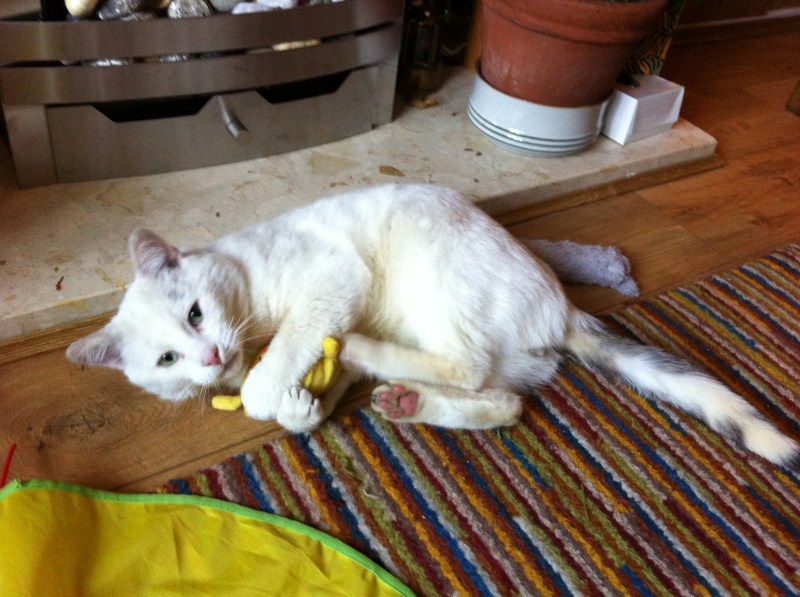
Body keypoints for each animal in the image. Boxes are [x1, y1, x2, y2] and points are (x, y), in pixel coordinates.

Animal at [67, 183, 799, 468]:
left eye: (195, 312)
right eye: (166, 361)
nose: (210, 356)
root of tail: (561, 305)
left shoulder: (334, 276)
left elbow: (270, 373)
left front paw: (269, 392)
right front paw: (303, 406)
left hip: (436, 270)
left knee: (467, 366)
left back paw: (365, 350)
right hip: (494, 356)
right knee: (503, 400)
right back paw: (404, 399)